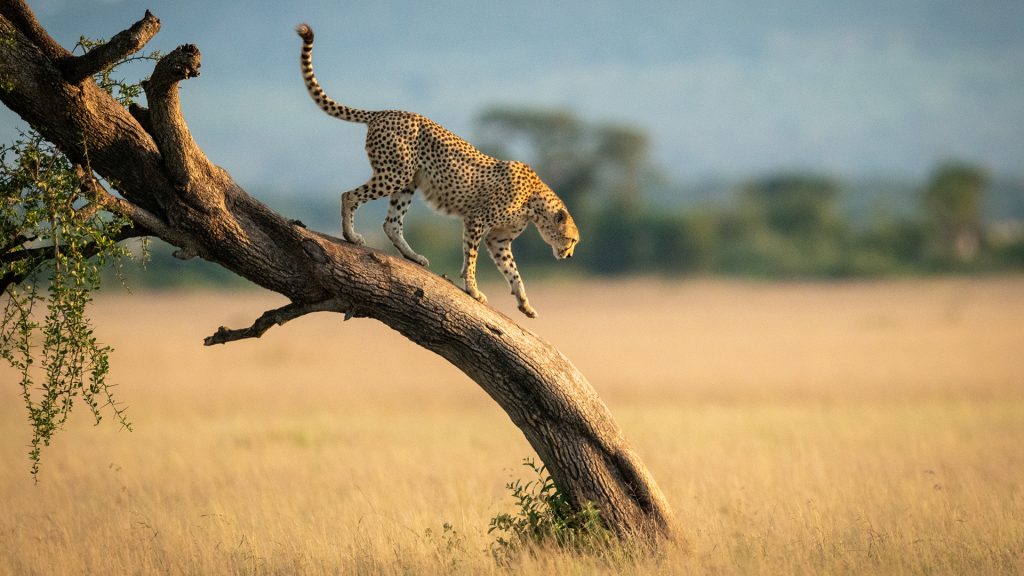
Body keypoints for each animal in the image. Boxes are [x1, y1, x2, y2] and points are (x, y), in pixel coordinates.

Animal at [299, 23, 581, 317]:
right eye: (571, 239)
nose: (569, 255)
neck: (535, 204)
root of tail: (384, 112)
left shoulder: (499, 239)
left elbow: (513, 272)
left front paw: (524, 303)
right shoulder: (476, 220)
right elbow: (471, 258)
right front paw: (473, 289)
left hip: (408, 182)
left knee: (391, 223)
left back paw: (412, 256)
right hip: (394, 174)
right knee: (349, 195)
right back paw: (351, 236)